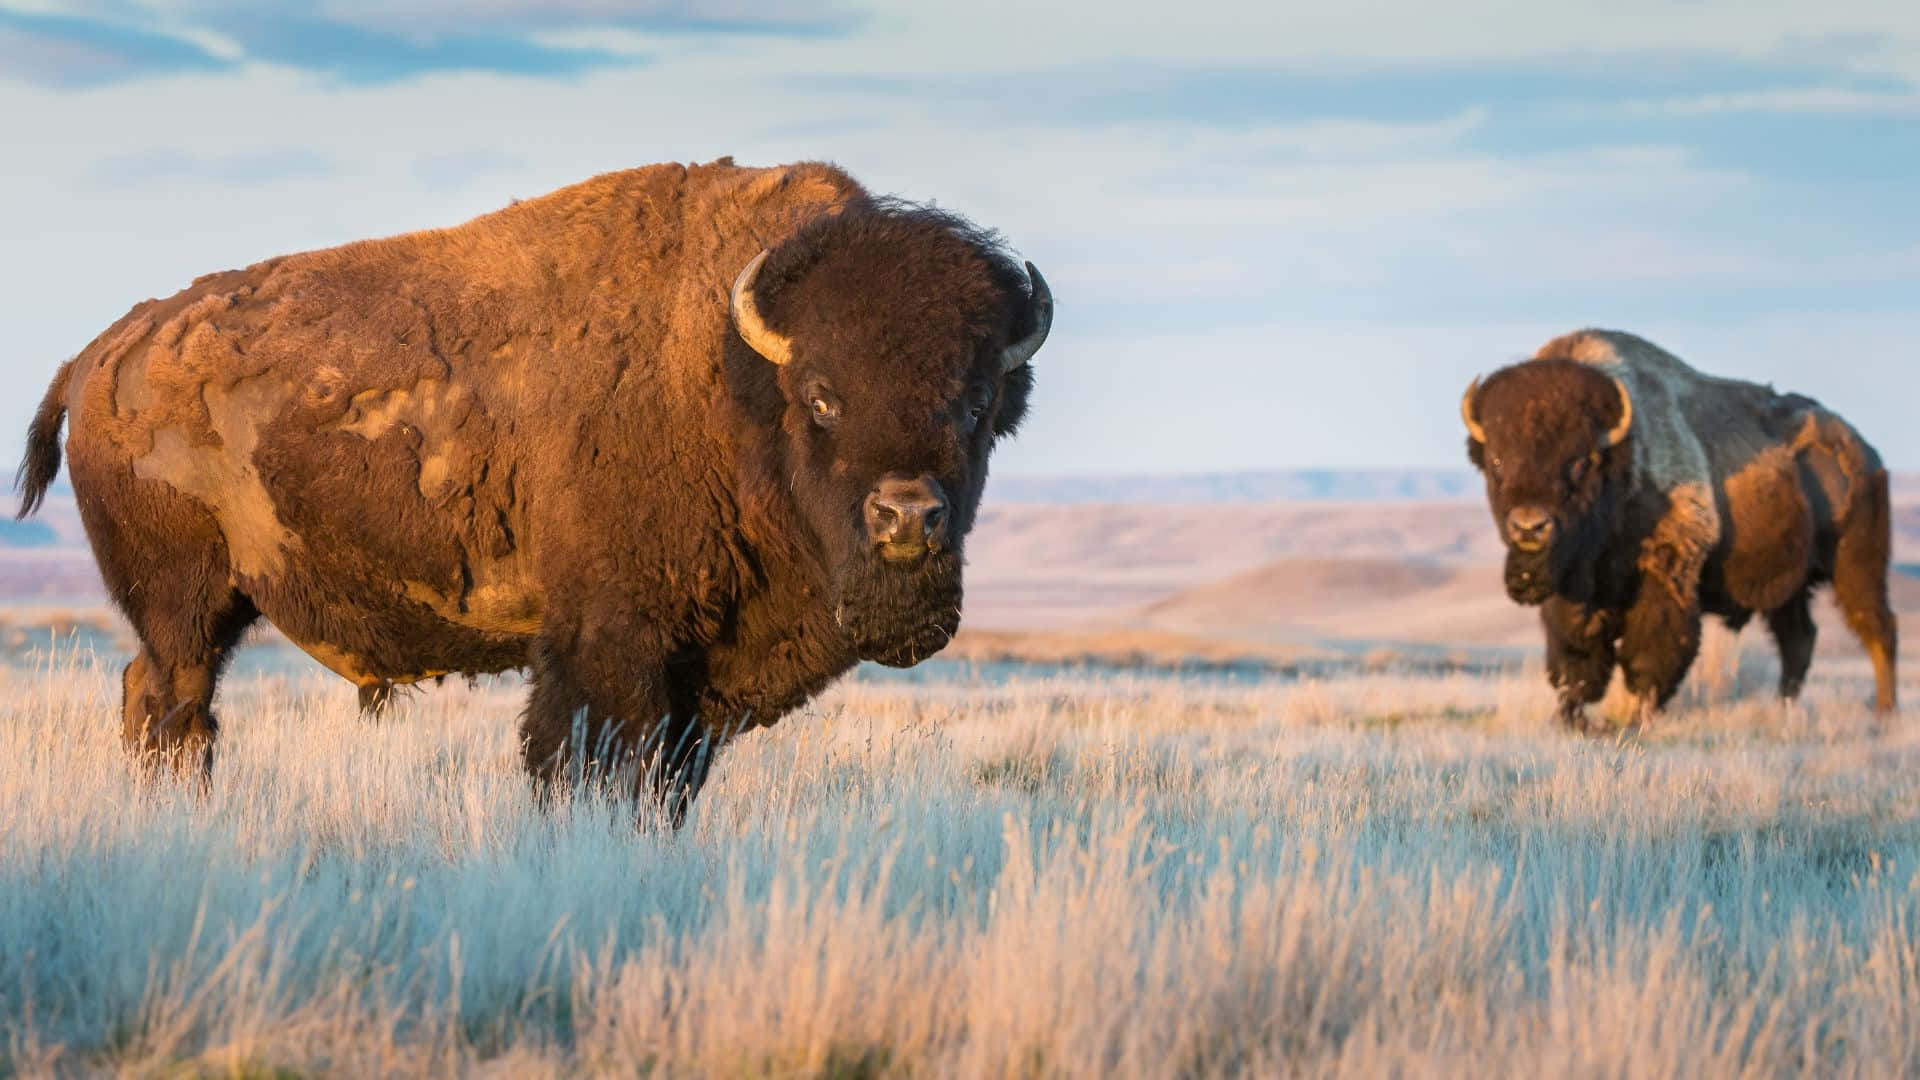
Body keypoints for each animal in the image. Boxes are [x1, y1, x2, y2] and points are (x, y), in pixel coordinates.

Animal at [15, 155, 1059, 818]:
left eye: (975, 404)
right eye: (824, 397)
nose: (907, 517)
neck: (732, 375)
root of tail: (102, 352)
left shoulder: (698, 682)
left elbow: (666, 783)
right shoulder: (609, 645)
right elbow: (582, 763)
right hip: (186, 602)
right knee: (172, 704)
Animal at [1459, 328, 1896, 726]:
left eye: (1580, 461)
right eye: (1496, 462)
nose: (1529, 526)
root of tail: (1866, 452)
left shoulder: (1667, 573)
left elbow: (1649, 656)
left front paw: (1637, 719)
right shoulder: (1572, 595)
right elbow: (1575, 660)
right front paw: (1569, 719)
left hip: (1857, 567)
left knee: (1878, 630)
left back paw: (1884, 712)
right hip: (1788, 589)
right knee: (1799, 639)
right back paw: (1783, 709)